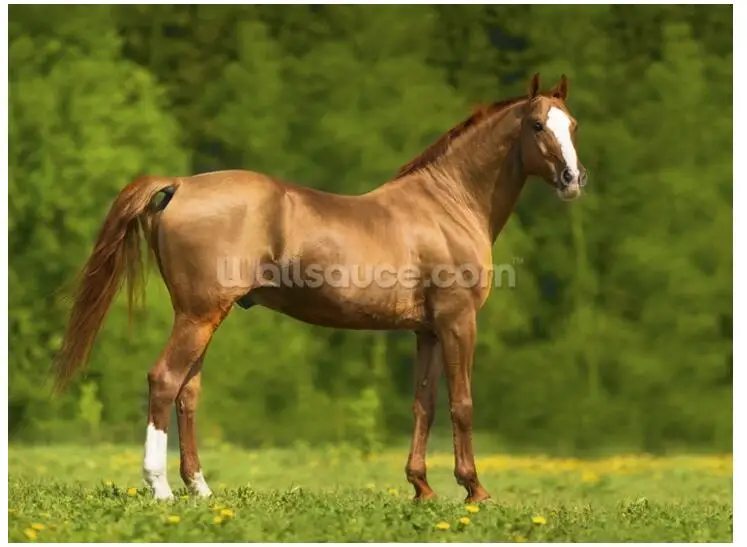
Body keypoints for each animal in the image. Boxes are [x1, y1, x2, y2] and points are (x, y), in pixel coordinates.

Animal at [53, 73, 587, 503]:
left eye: (573, 125)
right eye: (537, 126)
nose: (572, 178)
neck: (447, 205)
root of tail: (181, 184)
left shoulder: (428, 331)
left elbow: (424, 404)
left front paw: (422, 487)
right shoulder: (459, 323)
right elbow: (463, 404)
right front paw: (474, 489)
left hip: (202, 316)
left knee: (188, 391)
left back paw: (200, 488)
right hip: (199, 315)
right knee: (164, 380)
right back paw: (160, 488)